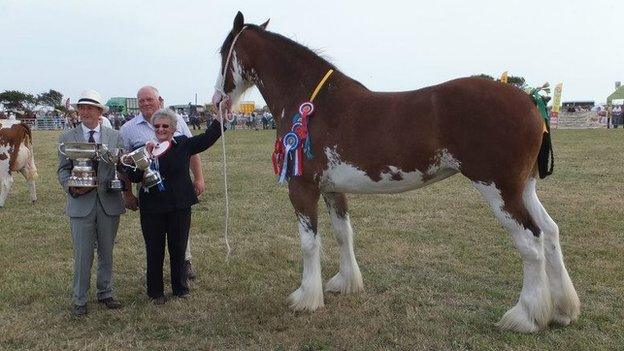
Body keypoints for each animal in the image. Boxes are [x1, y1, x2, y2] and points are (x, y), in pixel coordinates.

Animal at [210, 12, 580, 334]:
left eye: (223, 51)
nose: (216, 100)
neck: (314, 105)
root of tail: (530, 100)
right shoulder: (332, 189)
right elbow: (343, 234)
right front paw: (345, 283)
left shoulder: (302, 188)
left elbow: (309, 243)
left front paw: (306, 298)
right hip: (524, 188)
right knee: (551, 233)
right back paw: (562, 310)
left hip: (498, 189)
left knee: (531, 241)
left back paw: (526, 317)